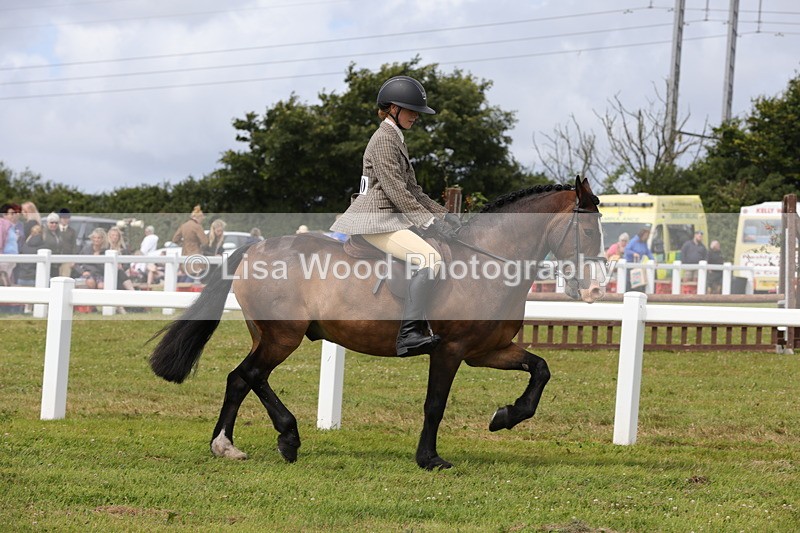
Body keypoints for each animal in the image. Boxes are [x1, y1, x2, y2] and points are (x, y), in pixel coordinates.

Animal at [149, 176, 606, 470]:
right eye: (588, 229)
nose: (595, 286)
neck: (486, 261)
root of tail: (256, 248)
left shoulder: (486, 351)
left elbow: (540, 369)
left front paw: (506, 416)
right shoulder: (450, 350)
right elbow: (435, 404)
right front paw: (429, 459)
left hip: (269, 334)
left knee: (241, 379)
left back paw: (227, 445)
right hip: (283, 335)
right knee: (251, 375)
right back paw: (284, 437)